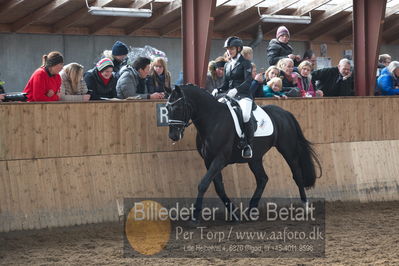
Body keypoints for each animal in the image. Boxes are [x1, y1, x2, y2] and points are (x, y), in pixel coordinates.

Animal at [166, 84, 322, 219]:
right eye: (167, 108)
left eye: (178, 107)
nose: (173, 136)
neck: (213, 120)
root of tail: (284, 113)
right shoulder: (208, 161)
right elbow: (219, 188)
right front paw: (234, 214)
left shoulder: (220, 159)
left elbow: (203, 184)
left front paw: (195, 215)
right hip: (255, 158)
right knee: (262, 179)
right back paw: (251, 210)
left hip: (288, 150)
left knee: (297, 175)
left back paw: (305, 206)